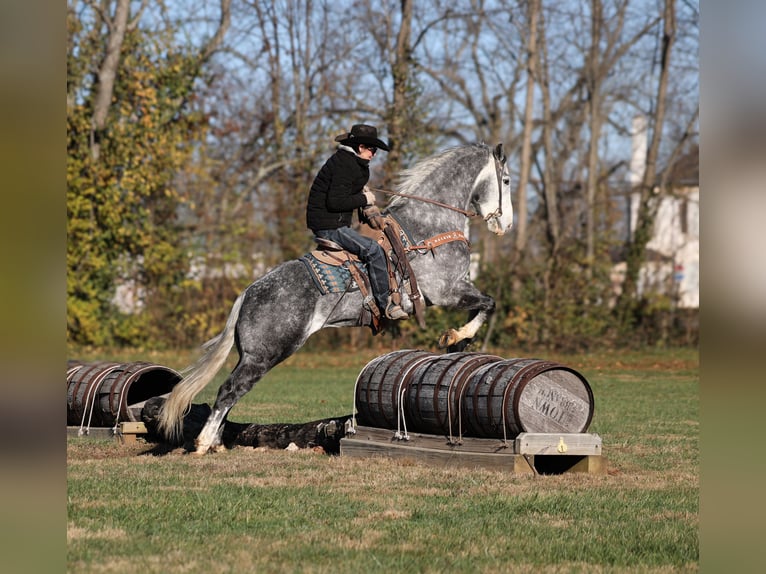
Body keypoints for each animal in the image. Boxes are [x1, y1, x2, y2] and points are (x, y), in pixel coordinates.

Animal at [158, 142, 513, 454]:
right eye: (507, 180)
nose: (507, 225)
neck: (428, 225)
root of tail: (248, 293)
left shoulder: (454, 290)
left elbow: (485, 305)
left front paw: (458, 342)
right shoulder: (446, 290)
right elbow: (489, 303)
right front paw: (457, 336)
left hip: (253, 356)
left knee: (232, 392)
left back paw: (216, 442)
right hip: (266, 354)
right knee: (229, 390)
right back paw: (203, 444)